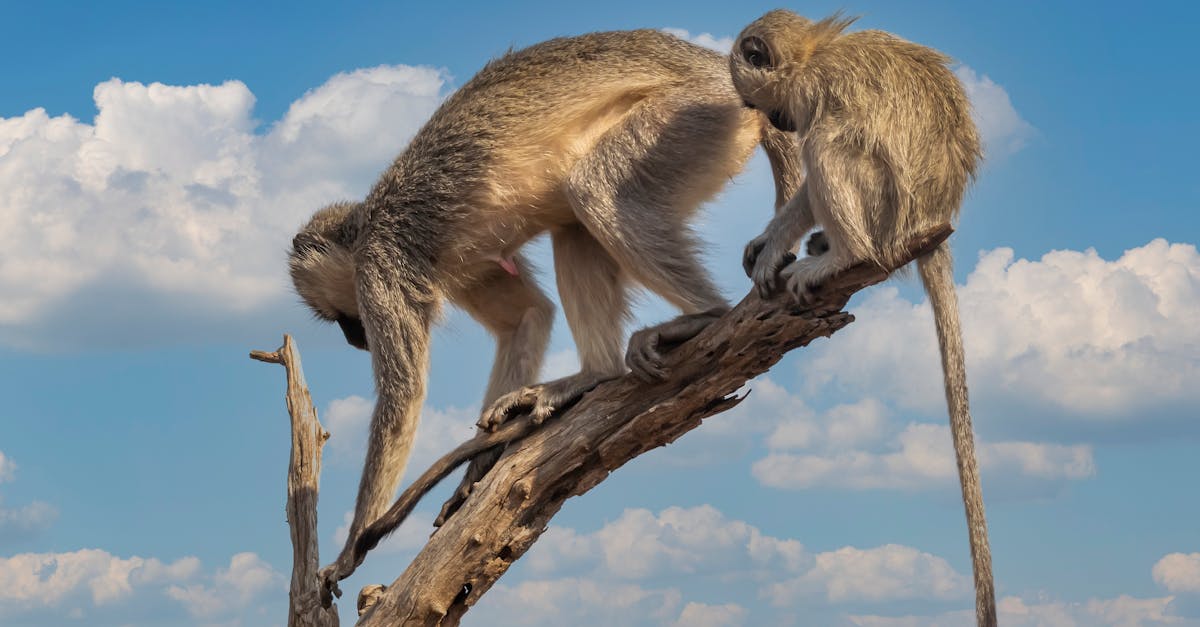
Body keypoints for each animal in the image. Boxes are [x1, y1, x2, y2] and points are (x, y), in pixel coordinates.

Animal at [288, 29, 805, 593]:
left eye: (342, 317)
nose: (351, 338)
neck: (364, 226)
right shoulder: (465, 270)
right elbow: (526, 317)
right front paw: (473, 475)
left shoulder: (380, 269)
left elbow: (402, 397)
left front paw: (349, 550)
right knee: (576, 223)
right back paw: (594, 374)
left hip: (693, 119)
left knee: (594, 189)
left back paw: (704, 316)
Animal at [730, 11, 996, 627]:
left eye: (756, 102)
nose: (771, 120)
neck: (813, 52)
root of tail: (932, 221)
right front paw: (769, 241)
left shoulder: (813, 94)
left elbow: (817, 157)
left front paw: (780, 246)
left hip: (884, 215)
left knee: (829, 143)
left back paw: (842, 253)